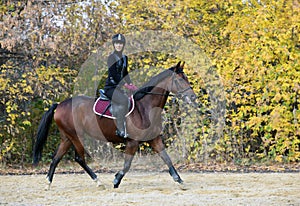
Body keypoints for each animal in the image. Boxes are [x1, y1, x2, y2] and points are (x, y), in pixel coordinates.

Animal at [33, 60, 197, 189]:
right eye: (179, 80)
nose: (193, 98)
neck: (145, 108)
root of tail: (60, 105)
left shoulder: (154, 139)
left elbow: (166, 158)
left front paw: (179, 181)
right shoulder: (132, 142)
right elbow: (127, 165)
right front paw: (116, 180)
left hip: (67, 137)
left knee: (56, 158)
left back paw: (48, 183)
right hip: (76, 136)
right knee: (79, 158)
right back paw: (98, 182)